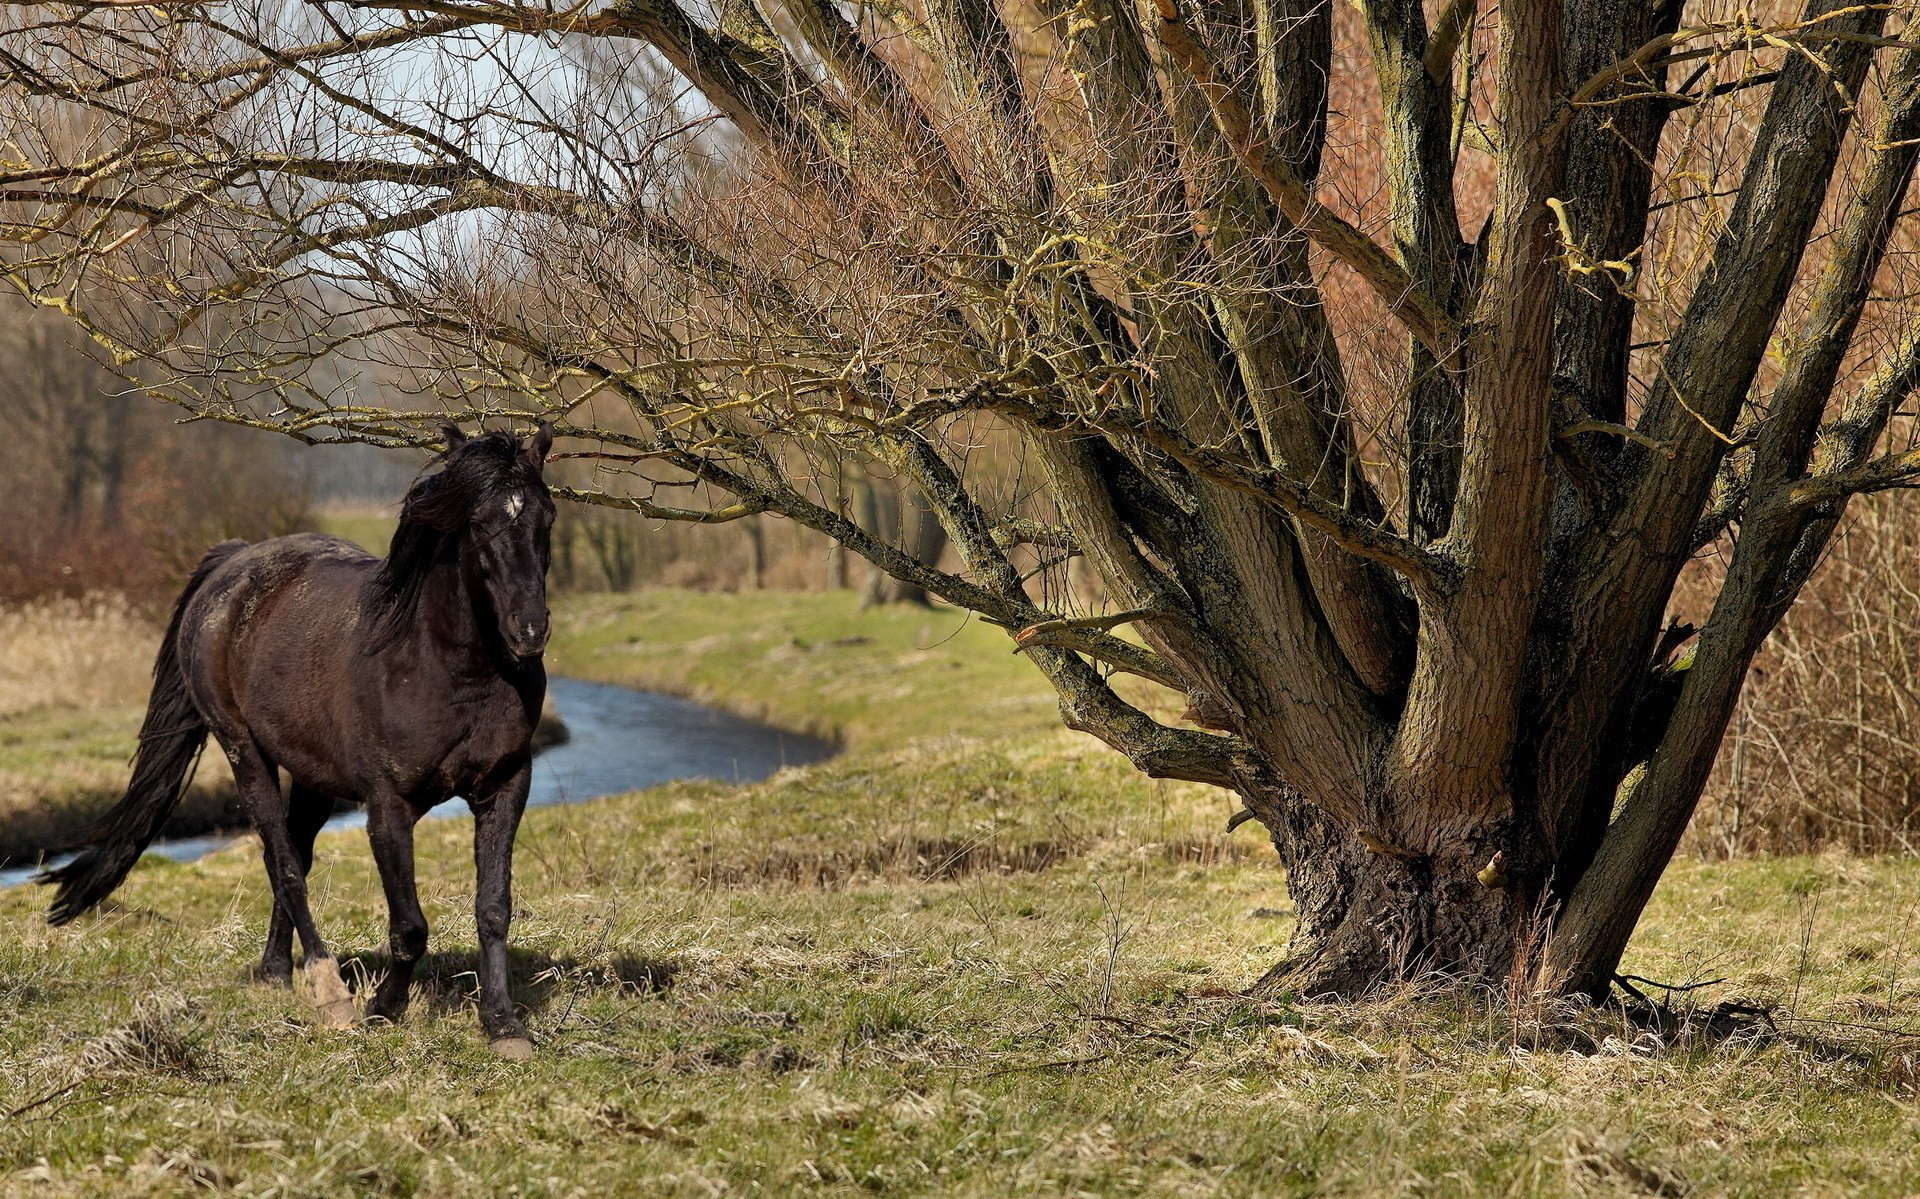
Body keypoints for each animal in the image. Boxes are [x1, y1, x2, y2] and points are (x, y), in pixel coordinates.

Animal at [41, 422, 557, 1058]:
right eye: (480, 522)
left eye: (547, 516)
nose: (529, 632)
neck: (445, 666)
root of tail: (234, 561)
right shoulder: (388, 806)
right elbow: (409, 924)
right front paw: (383, 1009)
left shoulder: (505, 787)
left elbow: (493, 908)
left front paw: (504, 1024)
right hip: (244, 752)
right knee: (283, 860)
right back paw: (328, 991)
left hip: (313, 777)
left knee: (291, 856)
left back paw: (275, 971)